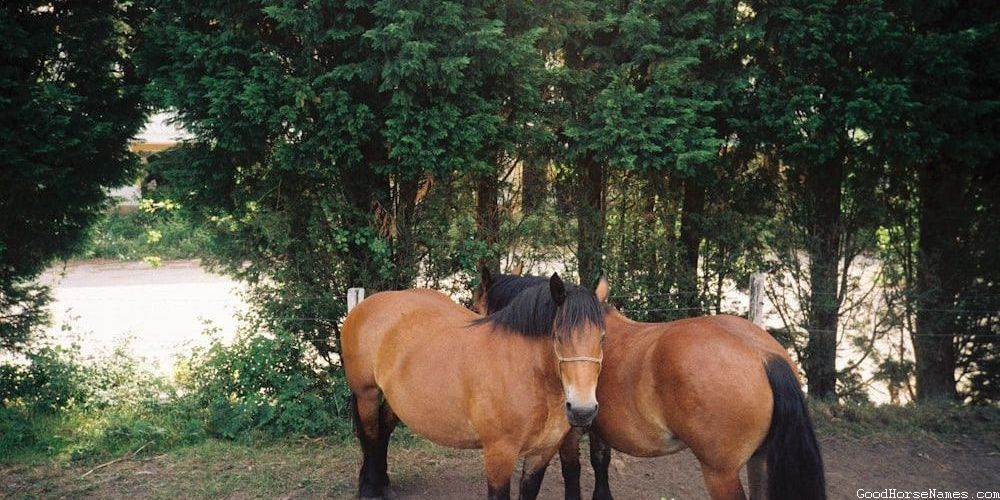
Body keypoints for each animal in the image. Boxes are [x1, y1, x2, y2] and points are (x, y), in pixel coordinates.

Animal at [341, 273, 609, 500]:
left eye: (602, 337)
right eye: (558, 336)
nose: (582, 410)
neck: (527, 374)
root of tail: (365, 305)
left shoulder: (541, 454)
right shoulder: (499, 456)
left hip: (395, 398)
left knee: (383, 430)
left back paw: (383, 484)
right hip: (366, 394)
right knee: (370, 434)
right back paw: (369, 490)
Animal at [475, 271, 825, 500]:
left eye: (478, 307)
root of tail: (764, 355)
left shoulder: (570, 433)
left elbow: (572, 474)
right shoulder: (598, 428)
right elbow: (600, 467)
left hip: (721, 474)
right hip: (759, 462)